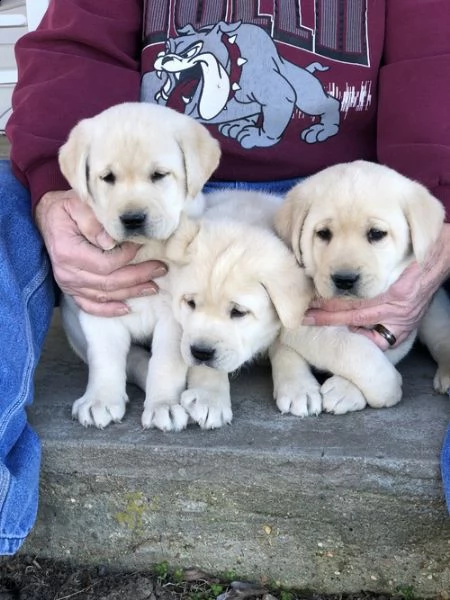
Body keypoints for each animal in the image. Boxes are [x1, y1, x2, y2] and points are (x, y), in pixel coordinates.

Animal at [59, 103, 221, 432]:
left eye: (159, 175)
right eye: (107, 177)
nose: (132, 219)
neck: (144, 250)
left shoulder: (175, 319)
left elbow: (166, 363)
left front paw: (164, 405)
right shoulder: (101, 307)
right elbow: (105, 358)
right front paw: (100, 399)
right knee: (132, 360)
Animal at [272, 159, 450, 412]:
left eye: (376, 233)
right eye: (323, 233)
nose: (345, 279)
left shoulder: (399, 326)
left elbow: (370, 348)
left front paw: (345, 390)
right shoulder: (295, 323)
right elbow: (345, 346)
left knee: (442, 335)